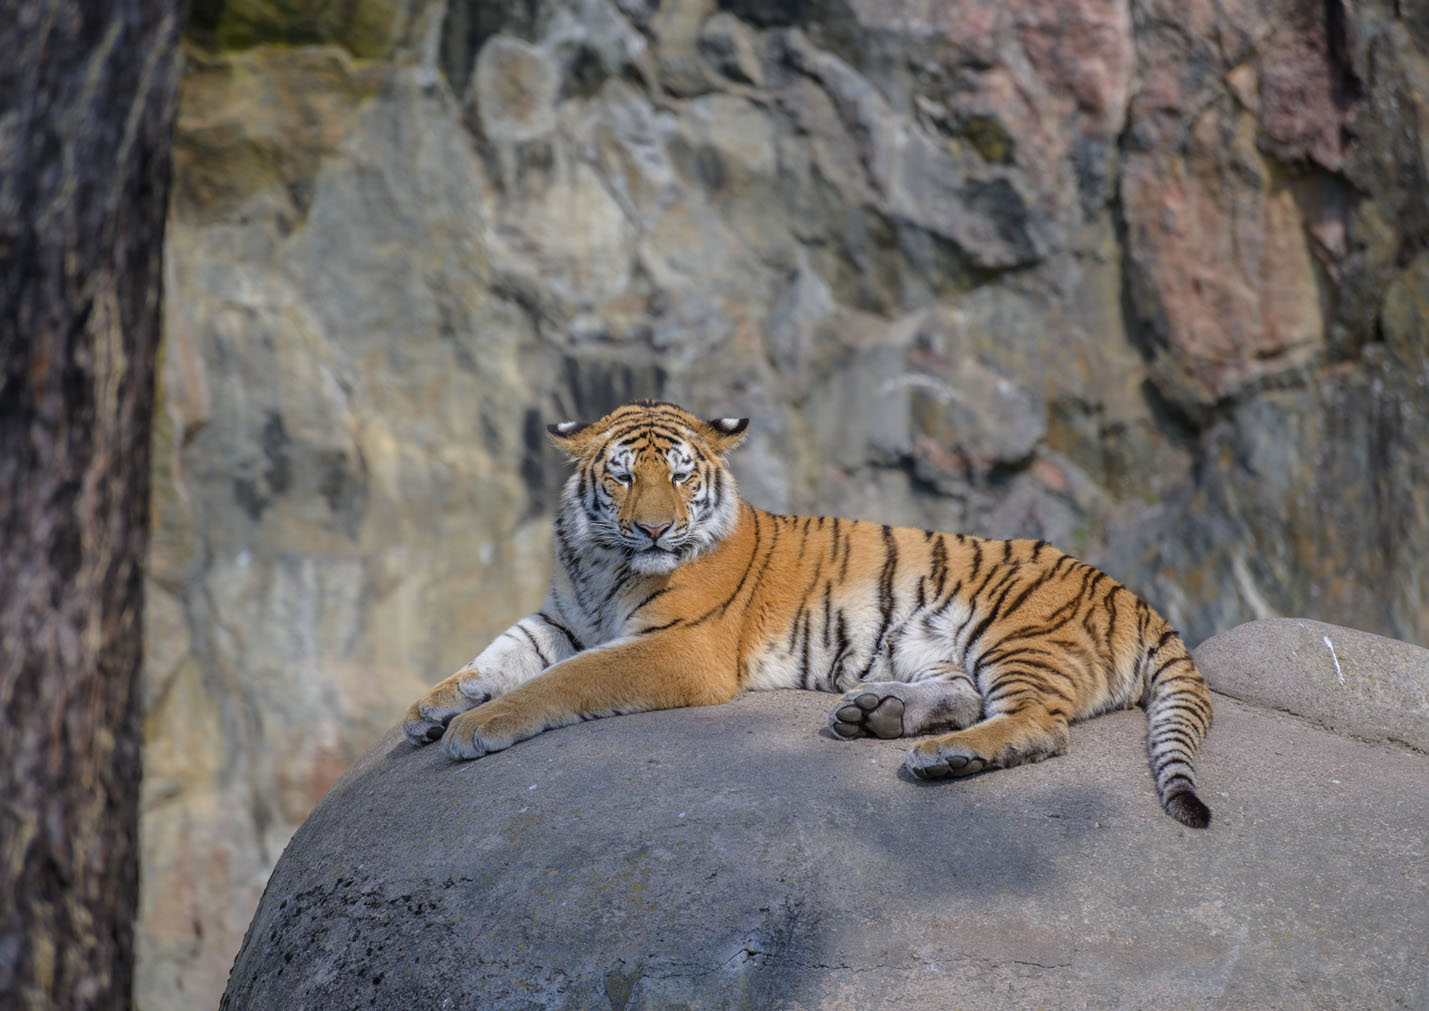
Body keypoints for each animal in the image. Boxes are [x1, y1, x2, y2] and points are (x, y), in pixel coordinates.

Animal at [405, 400, 1217, 829]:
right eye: (623, 477)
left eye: (681, 477)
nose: (656, 531)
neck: (605, 562)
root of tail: (1136, 599)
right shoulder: (561, 616)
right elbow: (497, 654)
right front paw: (430, 708)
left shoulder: (678, 647)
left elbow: (563, 680)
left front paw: (476, 726)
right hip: (930, 639)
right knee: (960, 694)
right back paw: (875, 714)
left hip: (1015, 633)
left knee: (1040, 725)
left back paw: (943, 756)